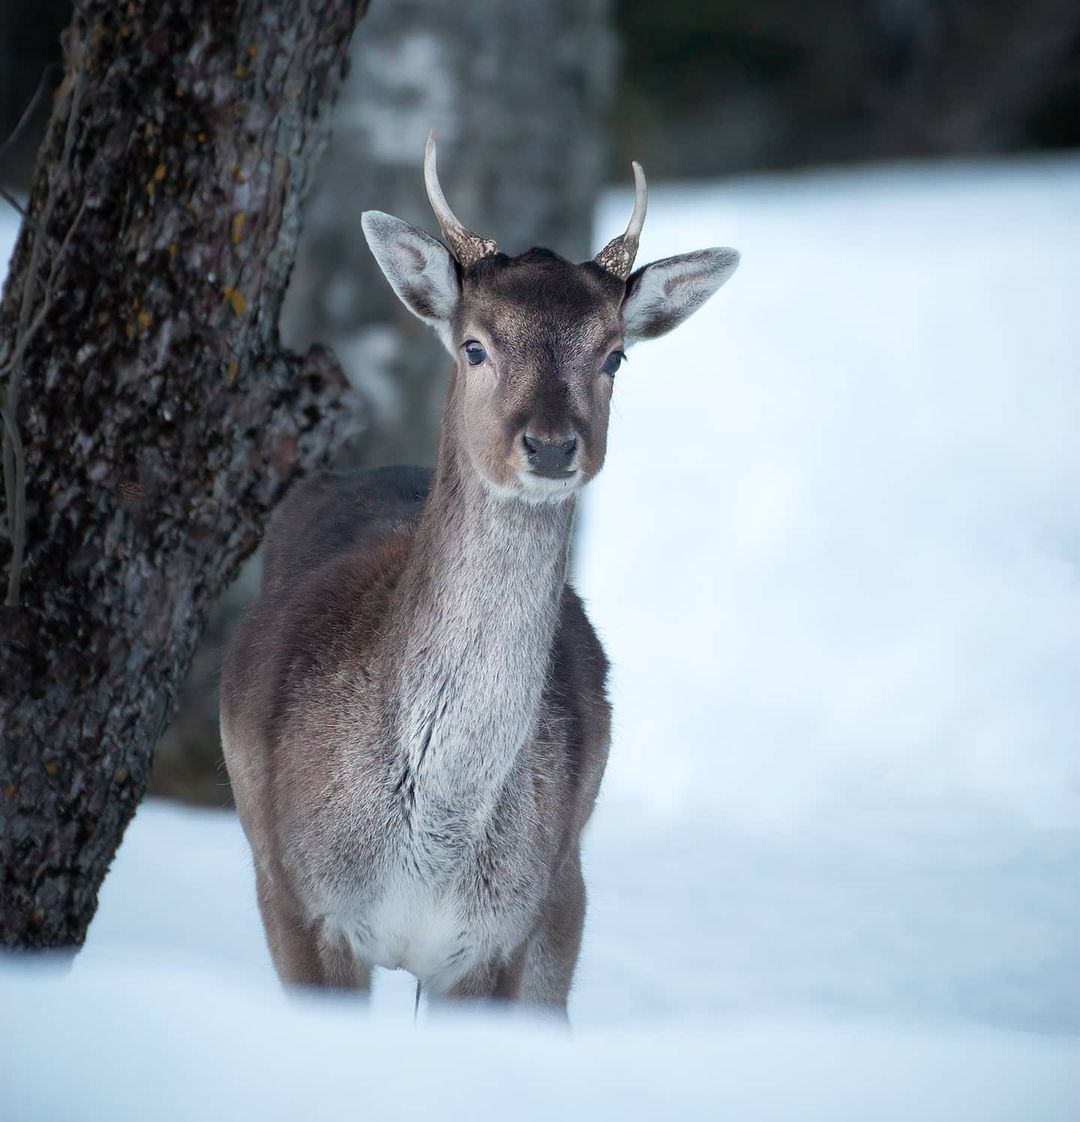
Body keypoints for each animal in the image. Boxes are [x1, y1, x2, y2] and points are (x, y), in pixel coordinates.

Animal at [222, 131, 744, 1018]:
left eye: (615, 355)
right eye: (475, 345)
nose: (552, 445)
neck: (428, 840)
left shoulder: (500, 936)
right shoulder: (300, 900)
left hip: (564, 906)